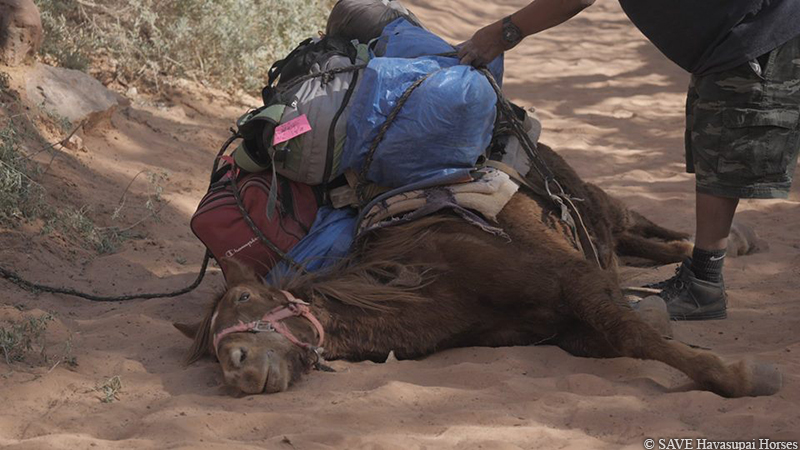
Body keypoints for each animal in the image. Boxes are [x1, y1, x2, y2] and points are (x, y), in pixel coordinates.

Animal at [174, 144, 781, 397]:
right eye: (210, 352)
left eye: (246, 299)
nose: (237, 368)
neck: (441, 276)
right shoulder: (565, 330)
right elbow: (624, 336)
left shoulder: (577, 283)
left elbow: (636, 336)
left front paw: (743, 376)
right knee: (637, 243)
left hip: (597, 204)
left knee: (643, 227)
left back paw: (737, 242)